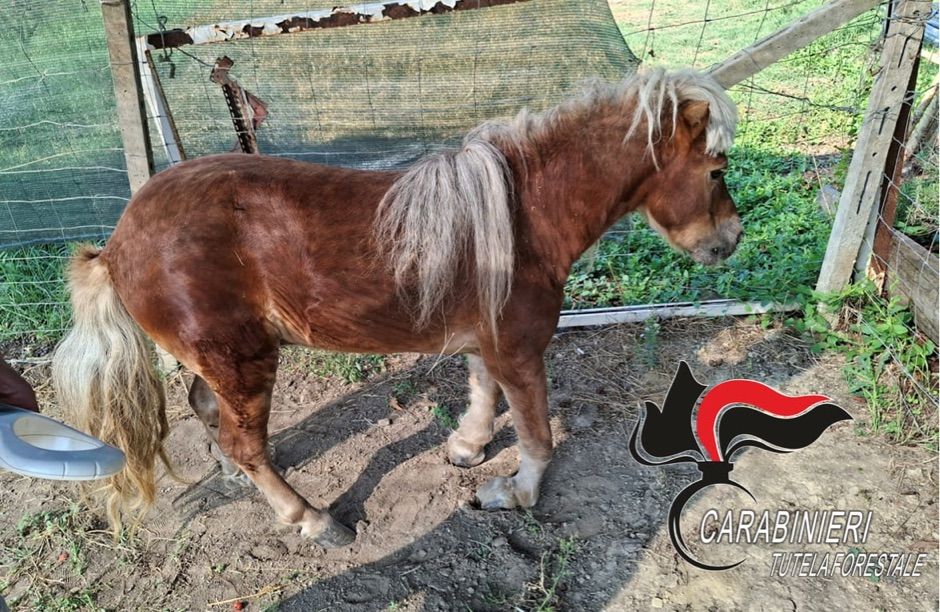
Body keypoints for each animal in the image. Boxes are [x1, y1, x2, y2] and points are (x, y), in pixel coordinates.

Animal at [51, 68, 741, 547]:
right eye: (715, 171)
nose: (730, 240)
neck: (521, 218)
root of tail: (118, 243)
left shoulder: (489, 343)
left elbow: (482, 392)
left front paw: (466, 448)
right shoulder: (520, 349)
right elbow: (536, 433)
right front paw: (516, 493)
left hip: (220, 359)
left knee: (211, 415)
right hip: (243, 361)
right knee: (244, 441)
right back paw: (311, 519)